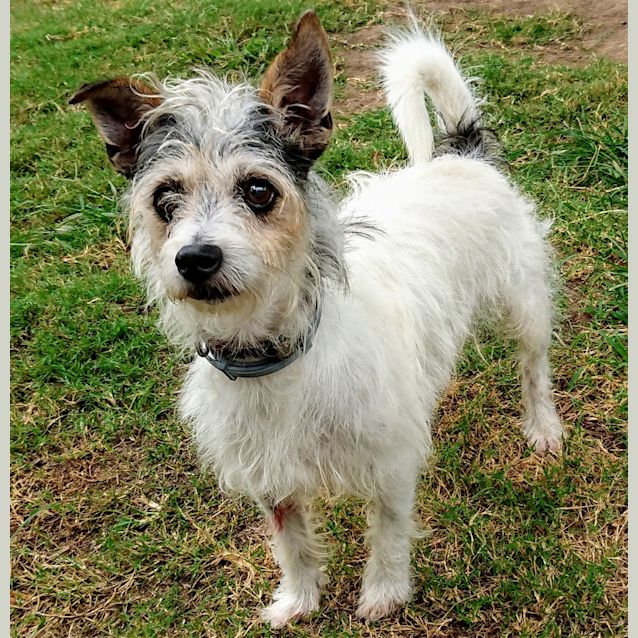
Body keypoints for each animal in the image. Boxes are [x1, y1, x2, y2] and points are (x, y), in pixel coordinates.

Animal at [71, 10, 564, 632]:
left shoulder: (392, 463)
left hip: (523, 303)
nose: (195, 258)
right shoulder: (270, 478)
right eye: (165, 199)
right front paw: (299, 600)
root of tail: (463, 154)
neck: (276, 356)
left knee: (533, 365)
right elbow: (294, 544)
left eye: (259, 190)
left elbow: (389, 532)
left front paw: (383, 593)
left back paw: (543, 428)